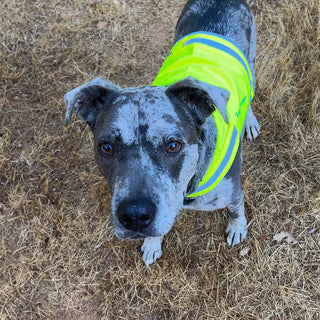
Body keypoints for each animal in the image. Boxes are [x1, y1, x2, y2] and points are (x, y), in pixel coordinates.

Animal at [64, 0, 260, 264]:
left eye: (173, 145)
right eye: (106, 147)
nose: (135, 216)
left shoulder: (233, 192)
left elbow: (236, 208)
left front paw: (237, 227)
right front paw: (152, 243)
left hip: (251, 62)